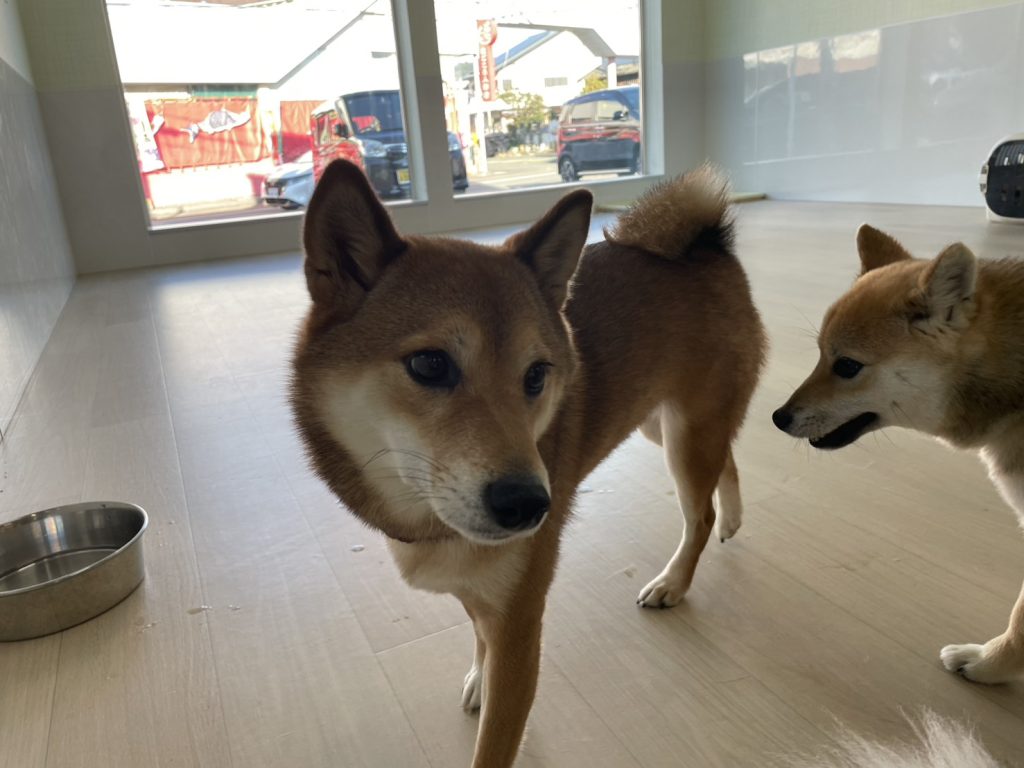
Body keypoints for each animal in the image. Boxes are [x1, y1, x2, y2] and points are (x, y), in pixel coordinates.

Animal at [290, 159, 766, 767]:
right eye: (429, 364)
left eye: (537, 374)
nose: (530, 505)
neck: (424, 517)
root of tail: (709, 246)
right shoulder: (483, 596)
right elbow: (477, 633)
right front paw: (480, 674)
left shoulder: (519, 622)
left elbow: (494, 741)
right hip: (661, 425)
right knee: (726, 460)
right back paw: (732, 517)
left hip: (684, 436)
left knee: (697, 514)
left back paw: (675, 581)